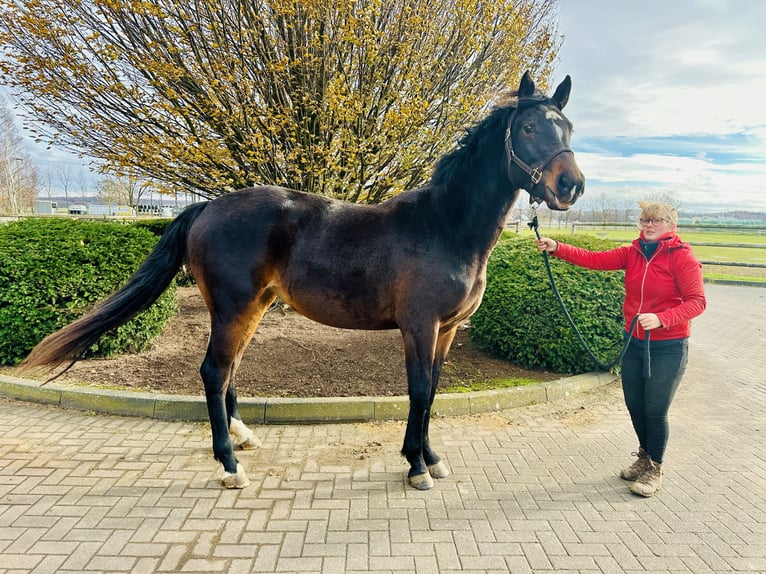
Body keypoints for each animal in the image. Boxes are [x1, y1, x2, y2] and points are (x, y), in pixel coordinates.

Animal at [24, 72, 588, 492]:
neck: (445, 226)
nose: (571, 185)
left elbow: (432, 391)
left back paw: (242, 437)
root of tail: (208, 208)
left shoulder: (445, 330)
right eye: (530, 127)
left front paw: (430, 457)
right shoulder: (420, 326)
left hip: (251, 308)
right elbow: (420, 391)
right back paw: (230, 466)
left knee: (229, 371)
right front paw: (416, 466)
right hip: (234, 308)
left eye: (568, 128)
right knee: (213, 371)